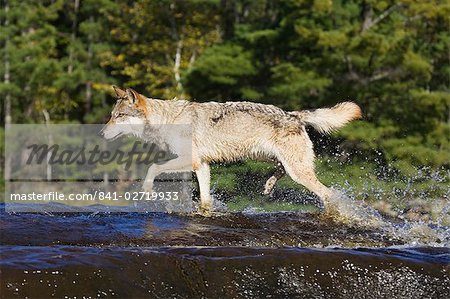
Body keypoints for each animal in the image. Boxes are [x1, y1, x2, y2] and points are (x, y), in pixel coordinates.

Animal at [103, 86, 362, 216]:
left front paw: (147, 191)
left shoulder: (190, 160)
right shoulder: (202, 165)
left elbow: (152, 167)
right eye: (111, 115)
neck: (168, 120)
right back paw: (268, 185)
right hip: (275, 159)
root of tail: (294, 114)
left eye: (119, 116)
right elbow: (205, 199)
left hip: (298, 172)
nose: (102, 133)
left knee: (327, 194)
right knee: (281, 171)